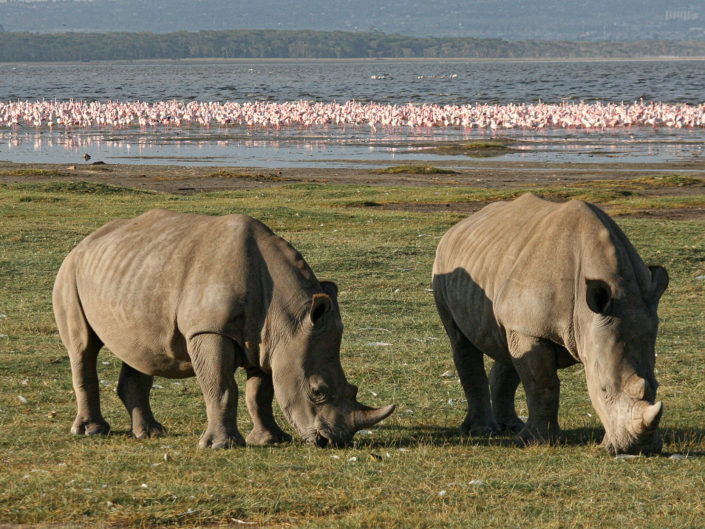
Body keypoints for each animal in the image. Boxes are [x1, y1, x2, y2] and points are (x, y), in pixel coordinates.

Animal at [53, 209, 394, 448]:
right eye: (318, 391)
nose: (333, 441)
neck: (288, 316)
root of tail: (85, 242)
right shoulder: (210, 331)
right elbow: (221, 387)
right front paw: (223, 446)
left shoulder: (269, 342)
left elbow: (260, 393)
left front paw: (271, 440)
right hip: (69, 272)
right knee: (83, 348)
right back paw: (91, 432)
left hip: (131, 274)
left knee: (138, 351)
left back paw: (151, 433)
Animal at [432, 193, 668, 454]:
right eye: (603, 391)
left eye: (656, 385)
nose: (639, 448)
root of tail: (459, 227)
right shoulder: (532, 330)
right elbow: (542, 383)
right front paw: (540, 442)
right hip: (443, 263)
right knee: (461, 341)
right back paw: (482, 431)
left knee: (507, 343)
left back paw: (511, 427)